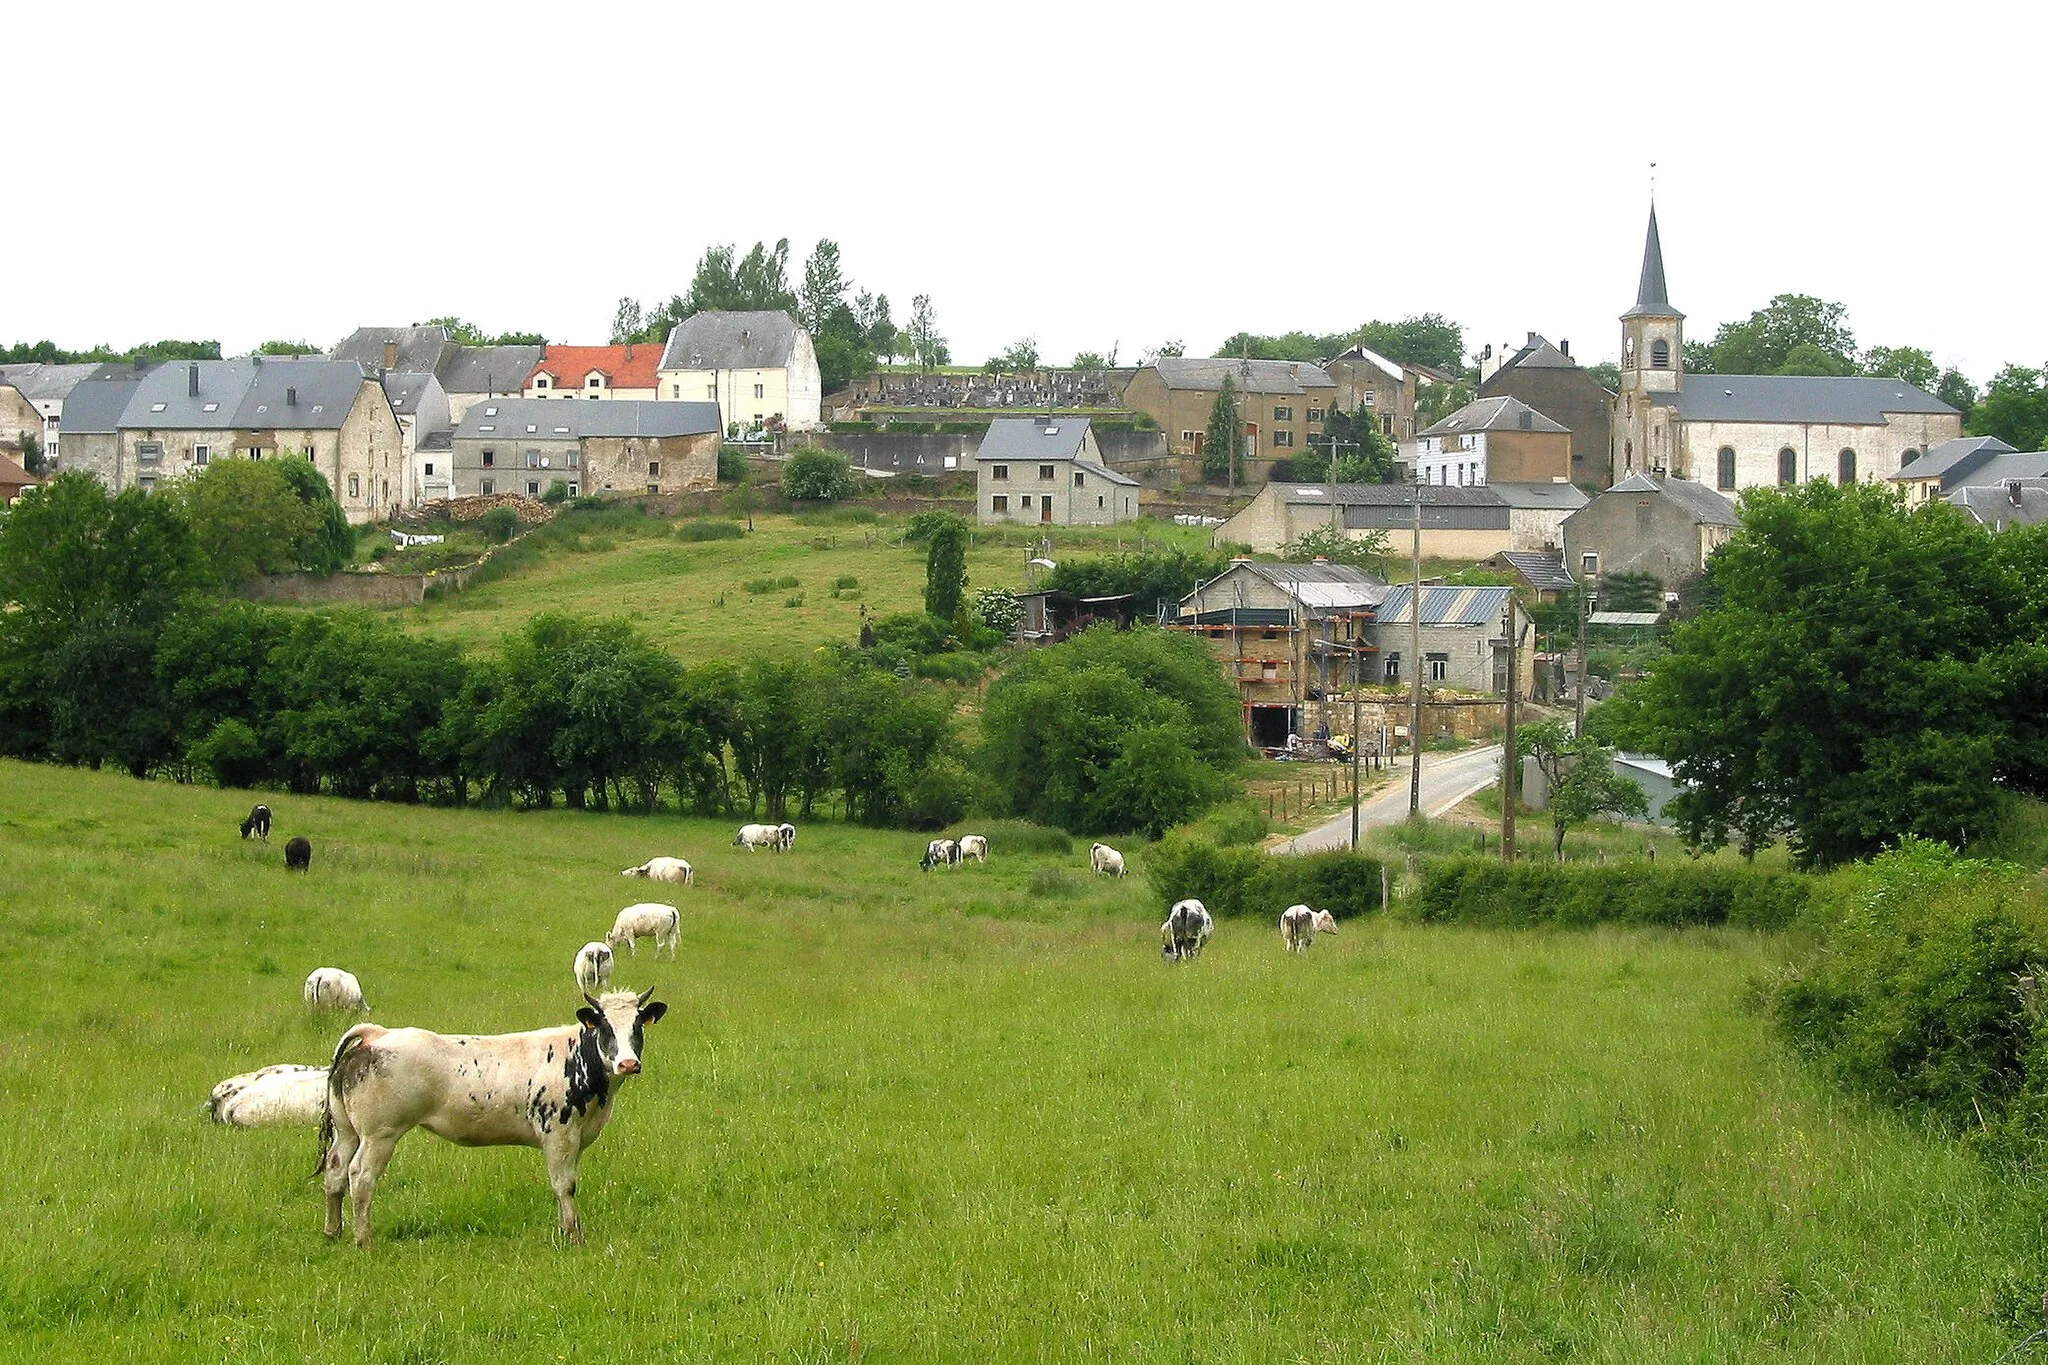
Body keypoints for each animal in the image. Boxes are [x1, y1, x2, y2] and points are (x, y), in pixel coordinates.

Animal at [319, 982, 667, 1252]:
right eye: (606, 1027)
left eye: (637, 1027)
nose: (628, 1064)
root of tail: (376, 1034)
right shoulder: (559, 1134)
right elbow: (564, 1185)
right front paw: (573, 1235)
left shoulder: (576, 1137)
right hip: (380, 1135)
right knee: (360, 1176)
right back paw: (364, 1240)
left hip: (348, 1131)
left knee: (335, 1169)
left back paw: (333, 1232)